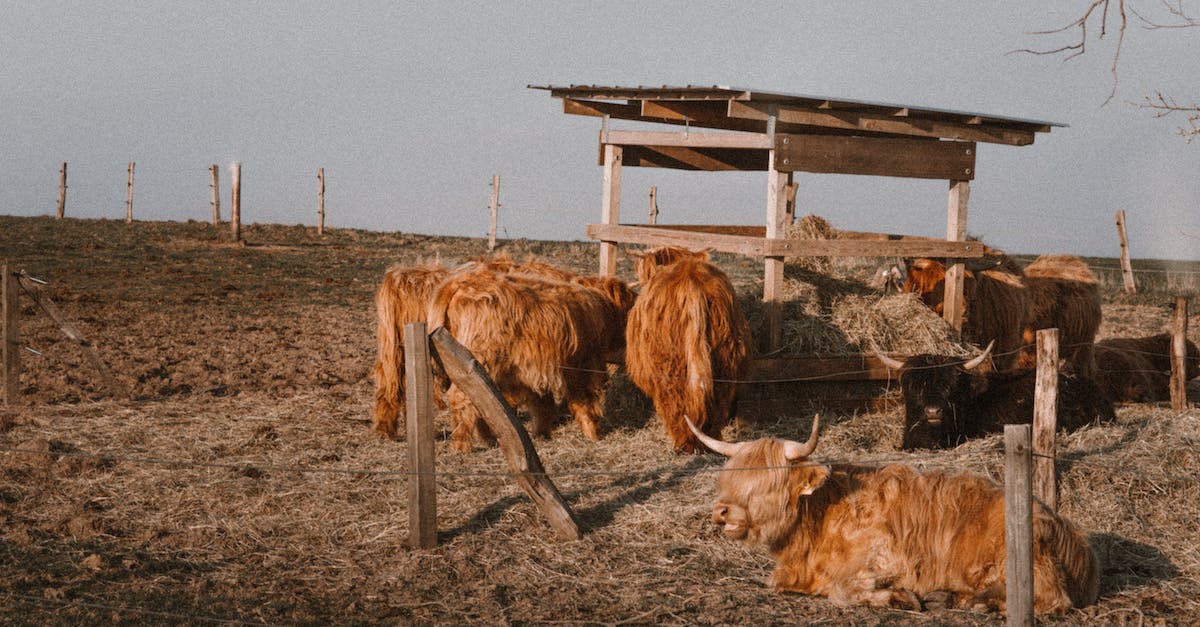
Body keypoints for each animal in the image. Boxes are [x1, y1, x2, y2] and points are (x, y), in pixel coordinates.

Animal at [427, 266, 635, 452]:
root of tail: (458, 282)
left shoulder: (537, 370)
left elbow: (543, 404)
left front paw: (543, 435)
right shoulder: (581, 366)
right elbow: (583, 402)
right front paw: (594, 434)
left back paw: (488, 439)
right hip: (478, 359)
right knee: (463, 397)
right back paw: (463, 445)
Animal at [686, 416, 1100, 615]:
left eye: (767, 483)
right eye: (730, 477)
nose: (722, 511)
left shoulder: (889, 560)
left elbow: (845, 590)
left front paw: (899, 599)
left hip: (1026, 565)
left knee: (1051, 599)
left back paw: (976, 603)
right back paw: (952, 598)